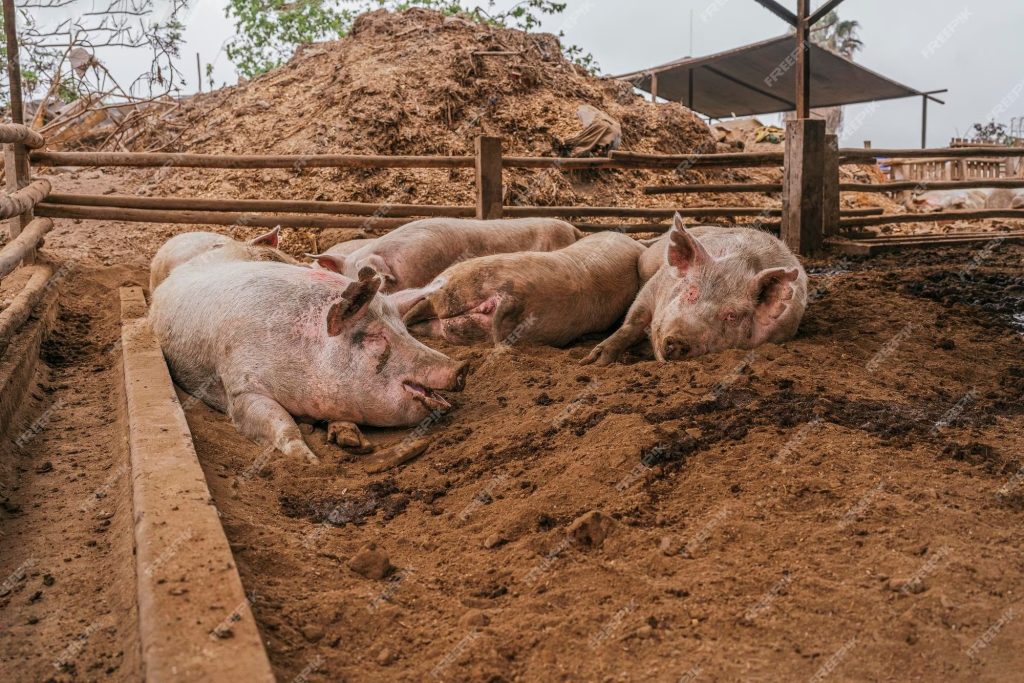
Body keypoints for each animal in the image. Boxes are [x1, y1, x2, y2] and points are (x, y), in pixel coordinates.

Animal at [148, 259, 468, 462]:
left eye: (403, 328)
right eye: (376, 337)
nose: (461, 367)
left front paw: (349, 441)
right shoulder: (240, 386)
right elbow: (280, 422)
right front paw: (309, 459)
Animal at [585, 215, 806, 366]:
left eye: (731, 316)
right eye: (691, 292)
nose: (679, 340)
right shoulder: (654, 285)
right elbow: (634, 321)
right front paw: (593, 361)